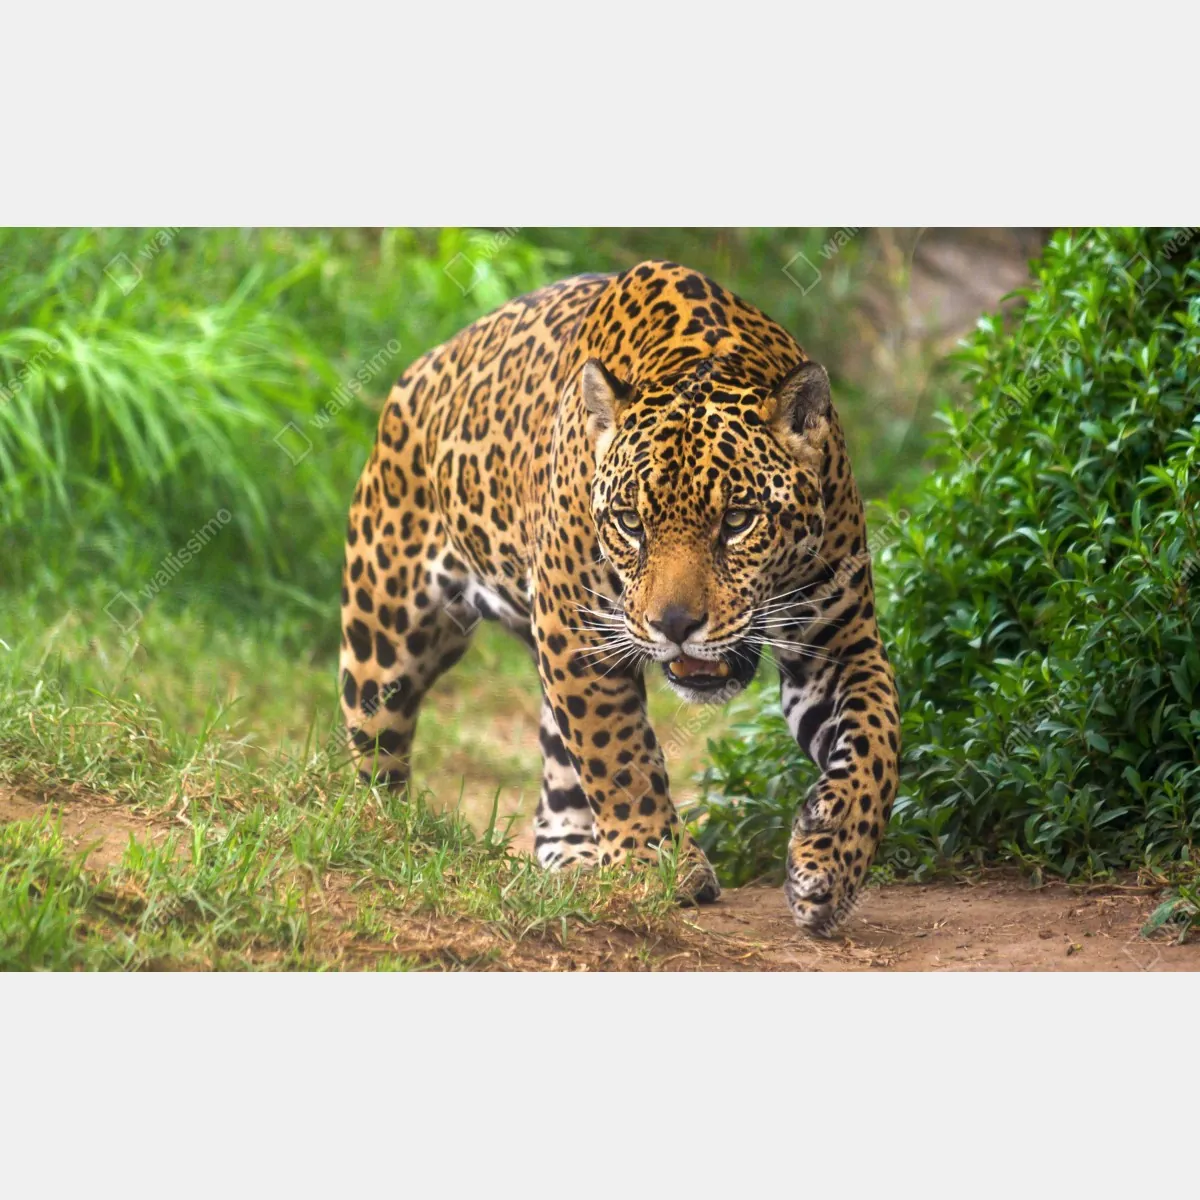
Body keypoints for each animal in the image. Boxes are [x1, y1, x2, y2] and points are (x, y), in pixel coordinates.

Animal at [339, 259, 900, 935]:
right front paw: (656, 862)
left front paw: (831, 858)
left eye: (738, 520)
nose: (676, 624)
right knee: (376, 754)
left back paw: (576, 862)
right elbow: (618, 752)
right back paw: (383, 837)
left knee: (558, 778)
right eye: (631, 523)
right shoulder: (576, 631)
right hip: (386, 636)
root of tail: (420, 369)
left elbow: (877, 742)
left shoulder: (838, 644)